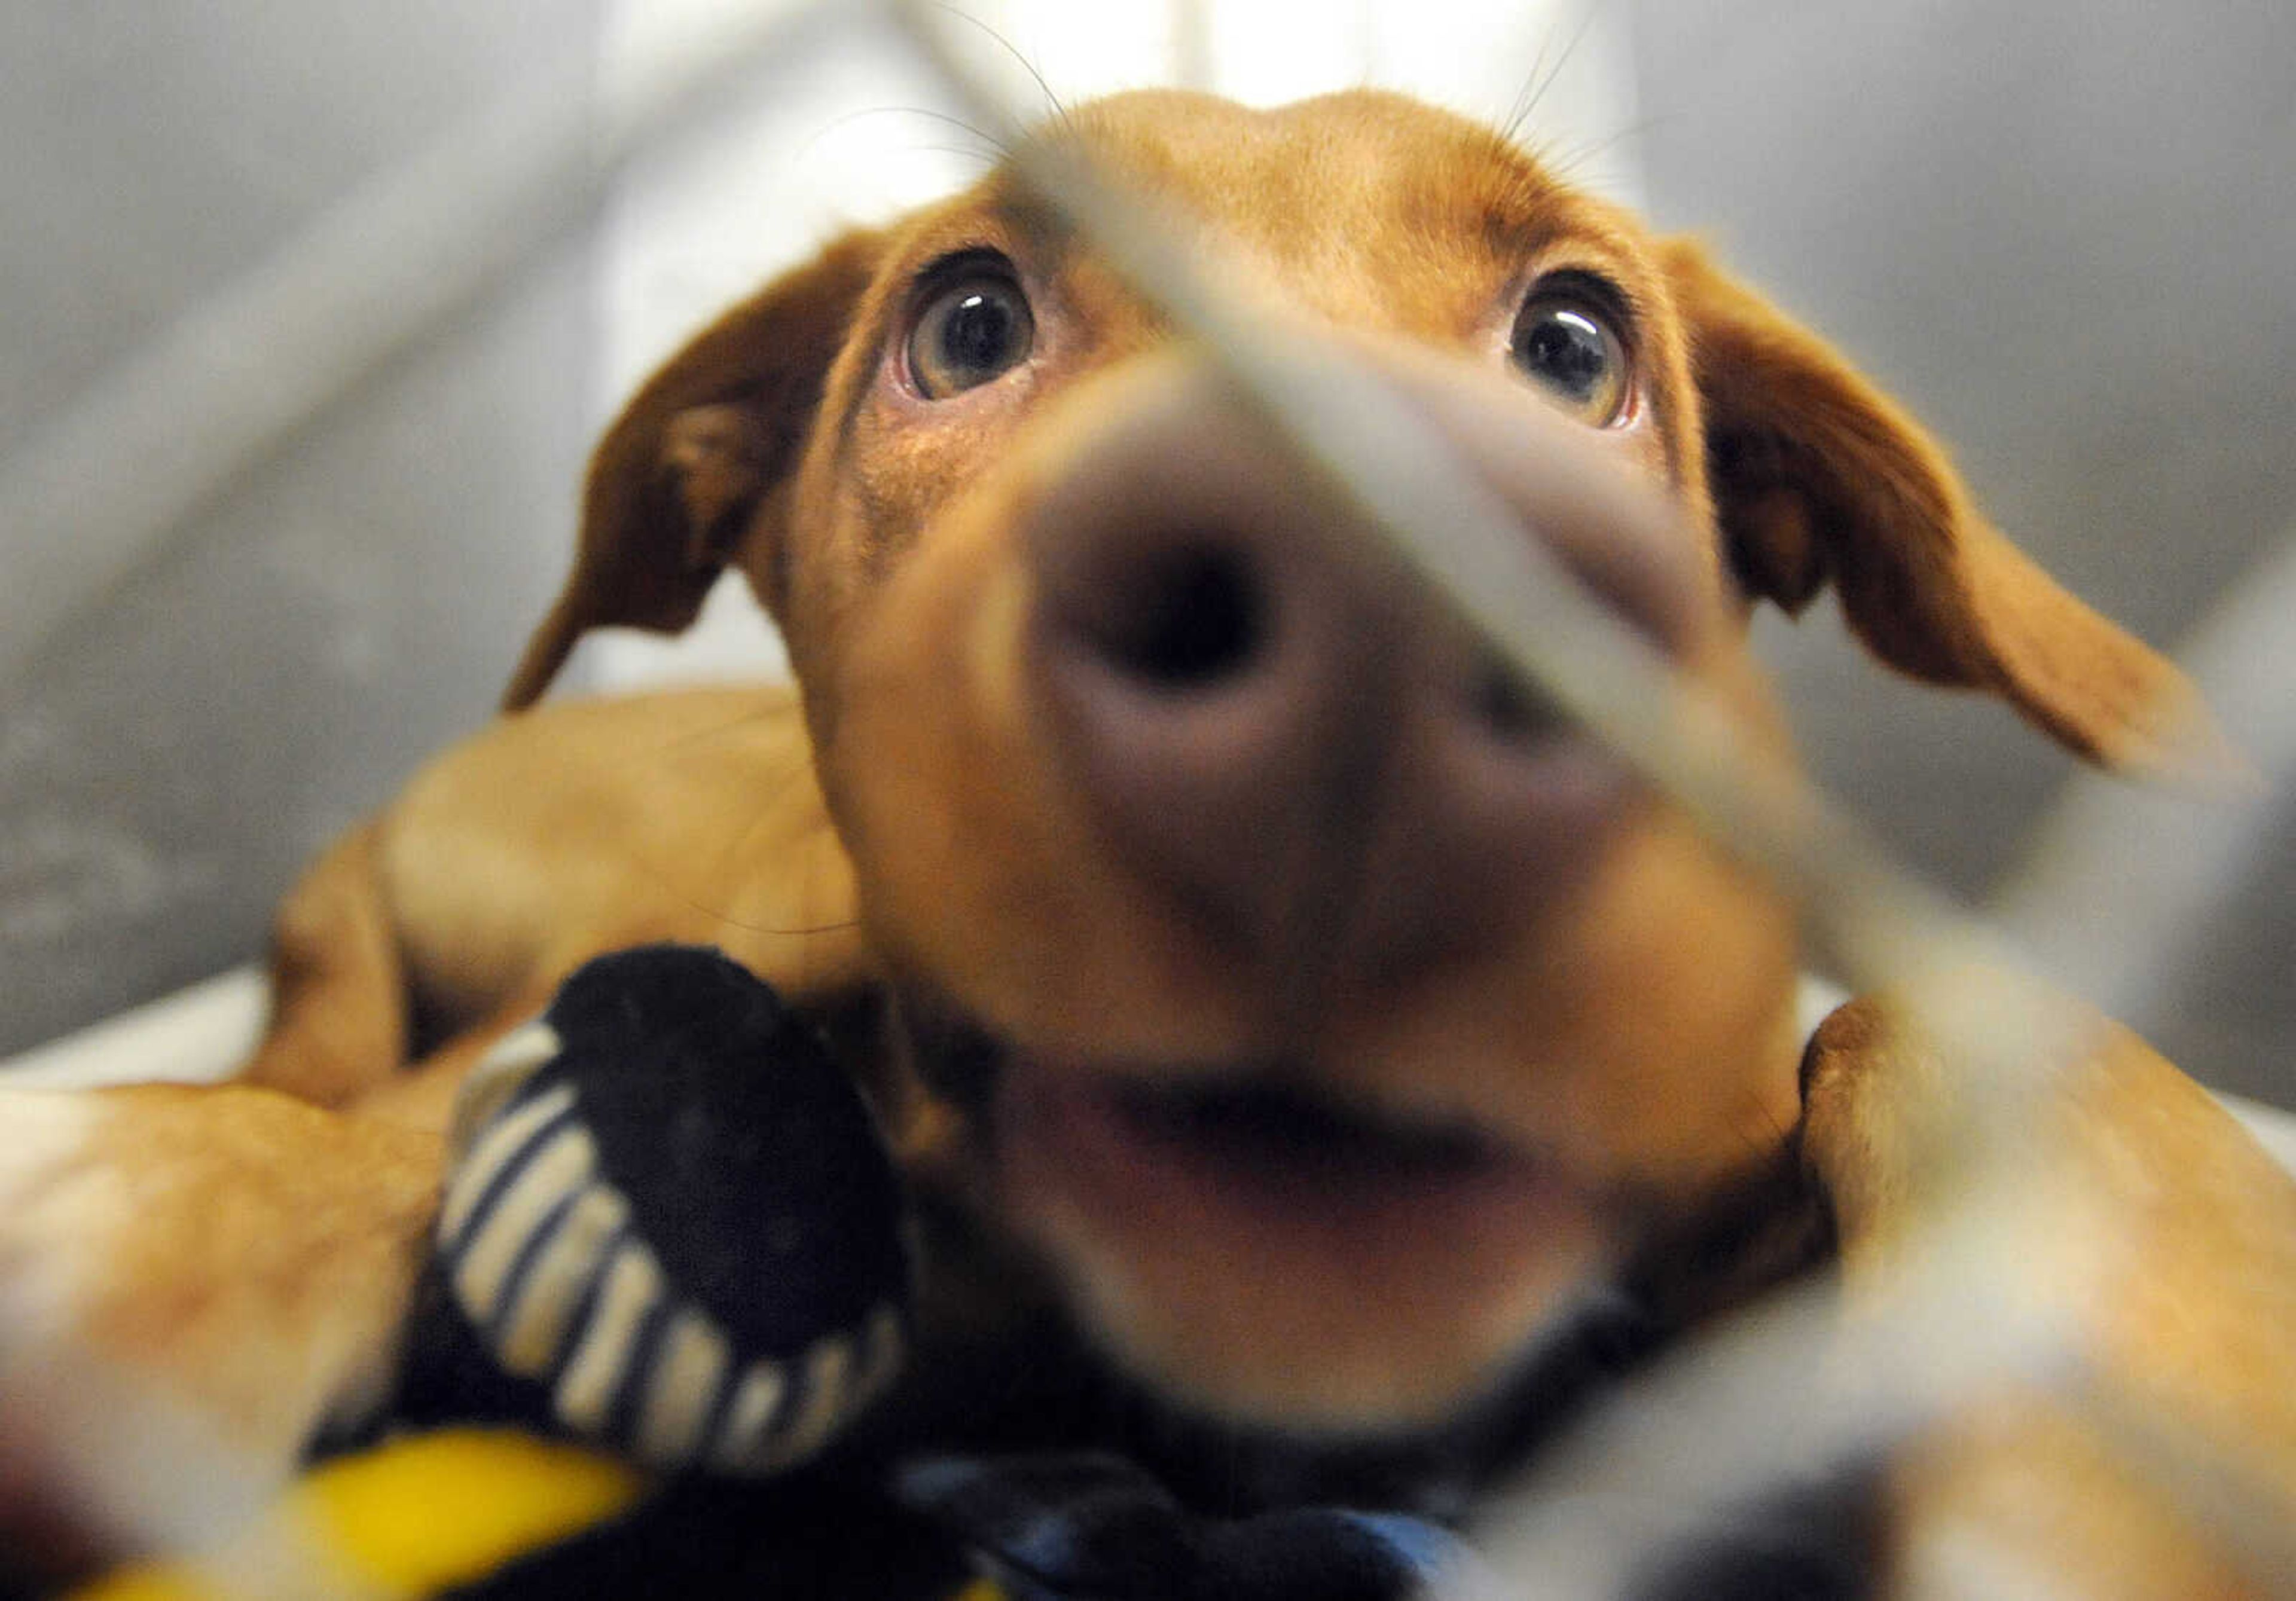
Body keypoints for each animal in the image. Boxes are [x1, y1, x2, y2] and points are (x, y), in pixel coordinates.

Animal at [4, 93, 2296, 1589]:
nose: (1373, 615)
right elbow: (373, 1132)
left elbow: (1928, 1034)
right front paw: (180, 1220)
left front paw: (2112, 1474)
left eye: (1575, 344)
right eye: (965, 323)